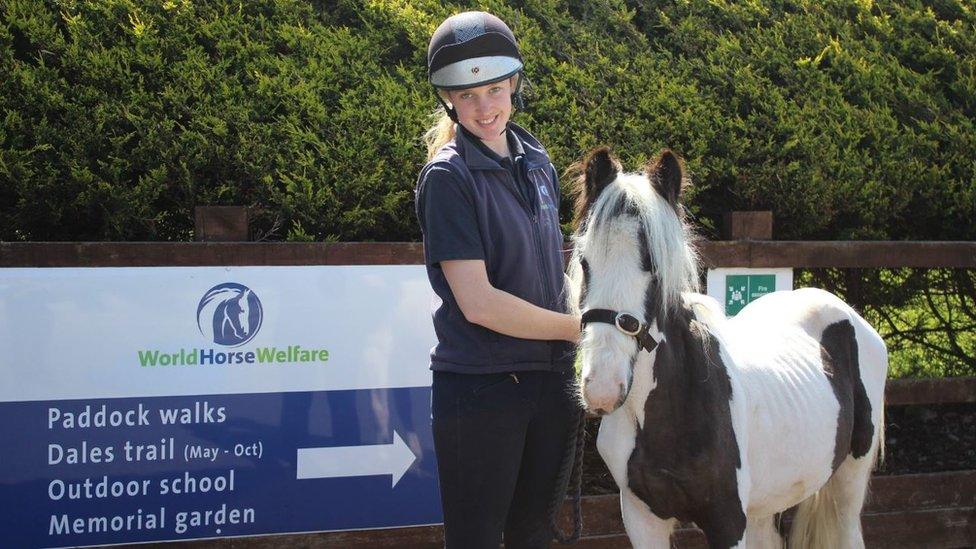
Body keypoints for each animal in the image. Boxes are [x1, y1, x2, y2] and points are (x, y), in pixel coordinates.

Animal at [568, 148, 888, 544]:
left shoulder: (728, 520)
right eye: (585, 261)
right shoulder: (642, 519)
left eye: (655, 265)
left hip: (848, 482)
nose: (602, 388)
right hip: (766, 506)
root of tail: (846, 313)